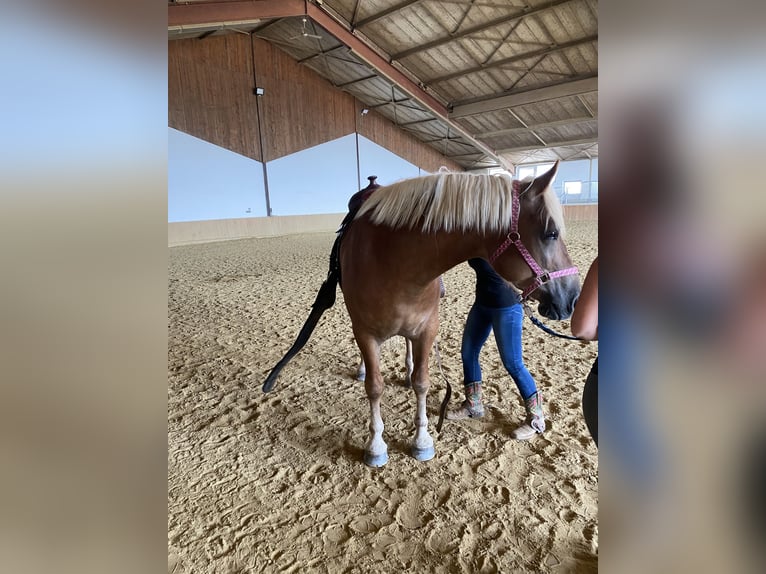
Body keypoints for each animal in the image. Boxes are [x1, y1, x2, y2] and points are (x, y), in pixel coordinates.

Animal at [260, 162, 580, 468]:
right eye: (551, 233)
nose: (572, 296)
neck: (395, 259)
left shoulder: (426, 330)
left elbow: (422, 382)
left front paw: (422, 440)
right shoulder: (365, 333)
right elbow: (374, 387)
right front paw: (376, 446)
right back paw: (364, 368)